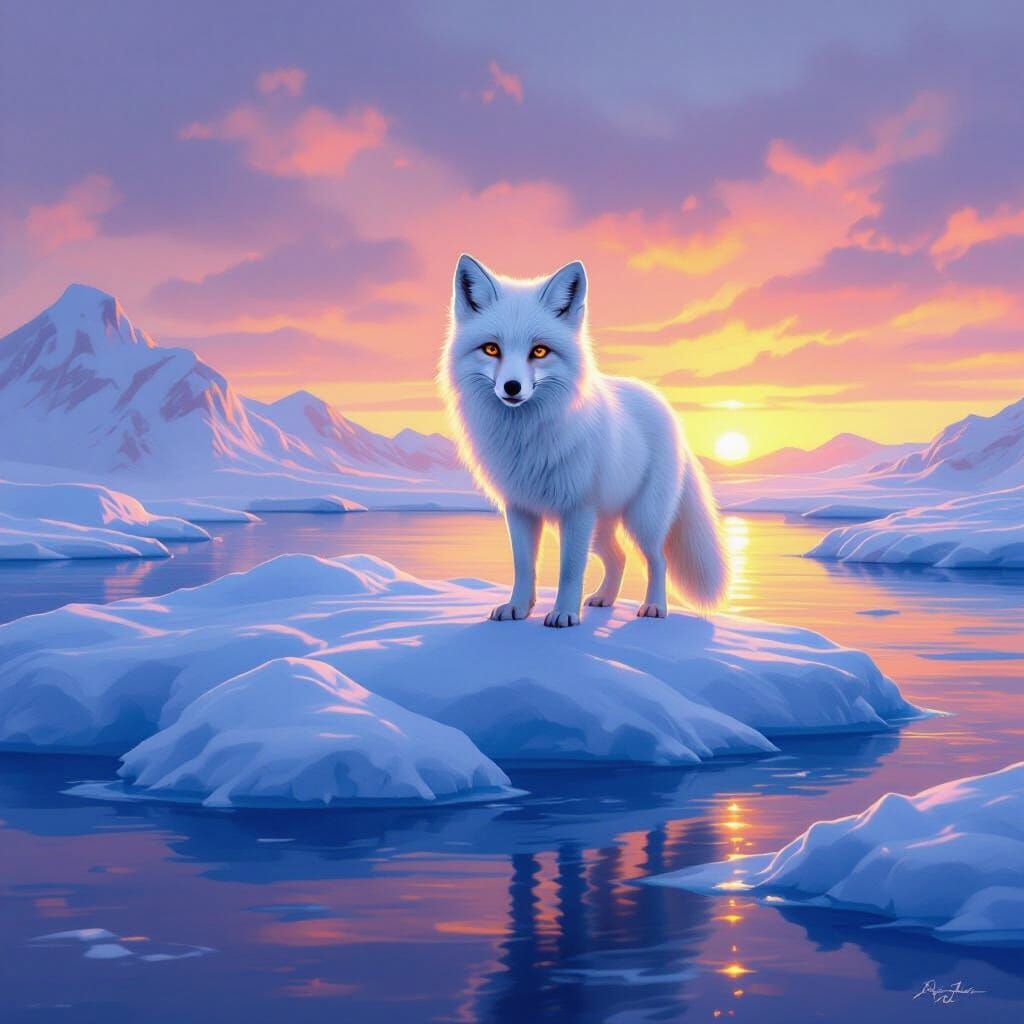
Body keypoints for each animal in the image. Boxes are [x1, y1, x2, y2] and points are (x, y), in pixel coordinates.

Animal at [439, 254, 729, 627]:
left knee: (656, 559)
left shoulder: (576, 508)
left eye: (539, 351)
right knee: (619, 557)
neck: (527, 436)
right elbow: (523, 566)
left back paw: (654, 607)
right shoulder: (519, 507)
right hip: (601, 526)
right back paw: (604, 598)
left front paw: (563, 614)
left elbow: (569, 570)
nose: (512, 387)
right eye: (491, 349)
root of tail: (667, 409)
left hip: (641, 519)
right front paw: (518, 608)